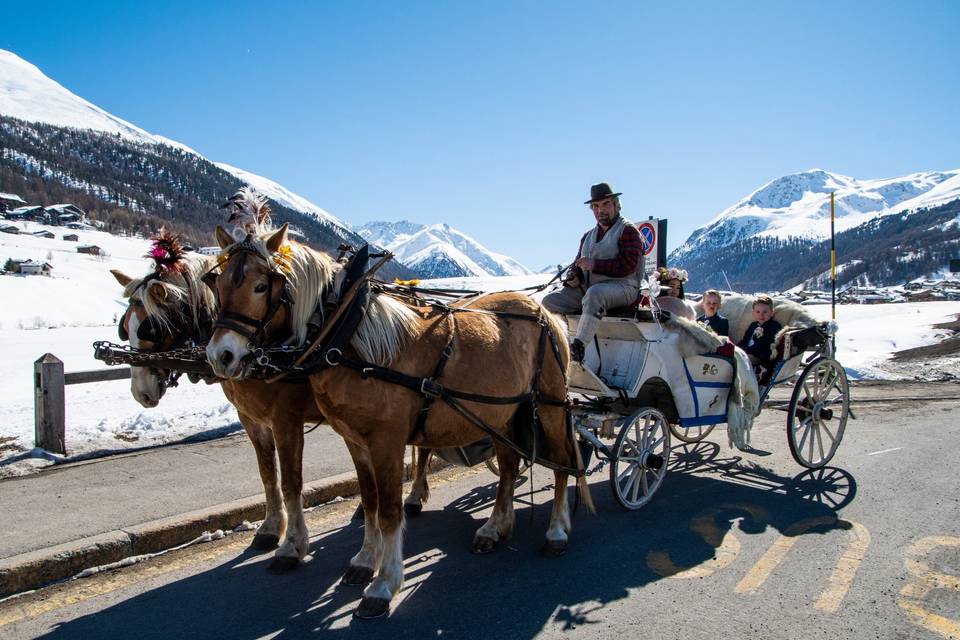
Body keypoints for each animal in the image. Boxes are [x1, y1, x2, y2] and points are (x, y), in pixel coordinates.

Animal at [206, 222, 588, 616]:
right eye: (216, 284)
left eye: (260, 286)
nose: (221, 355)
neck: (350, 339)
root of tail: (544, 313)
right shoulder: (354, 440)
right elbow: (370, 501)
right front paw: (364, 560)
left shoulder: (381, 441)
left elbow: (388, 509)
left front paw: (384, 582)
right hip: (501, 413)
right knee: (510, 468)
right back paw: (495, 528)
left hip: (550, 407)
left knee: (562, 464)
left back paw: (557, 531)